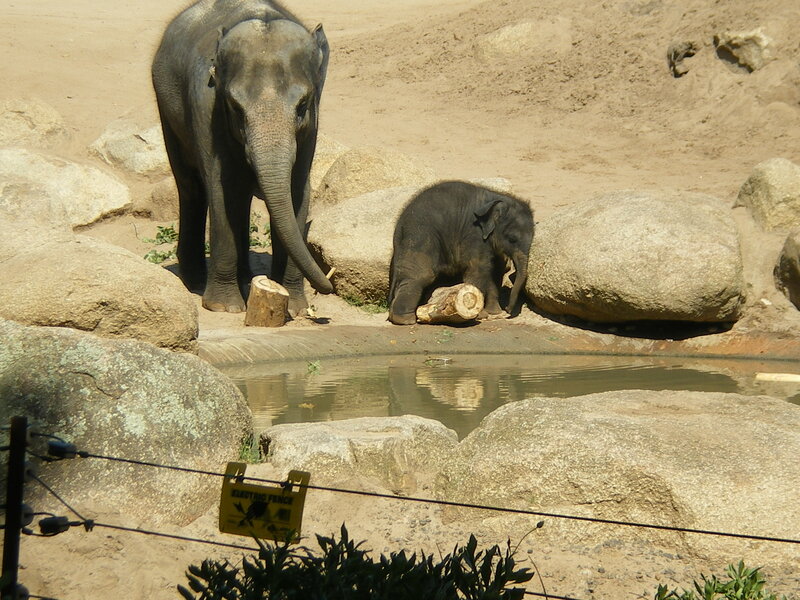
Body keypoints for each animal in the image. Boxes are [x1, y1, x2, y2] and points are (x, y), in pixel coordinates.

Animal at [152, 0, 333, 314]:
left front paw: (295, 308)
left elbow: (298, 191)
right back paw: (194, 280)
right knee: (191, 188)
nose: (329, 286)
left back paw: (246, 277)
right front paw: (223, 307)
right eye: (235, 108)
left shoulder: (313, 126)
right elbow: (223, 188)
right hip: (167, 109)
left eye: (302, 105)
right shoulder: (207, 106)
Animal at [388, 181, 534, 325]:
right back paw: (405, 320)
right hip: (420, 237)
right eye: (512, 238)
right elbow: (478, 270)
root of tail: (398, 227)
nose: (508, 310)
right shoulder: (473, 235)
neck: (496, 197)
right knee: (422, 276)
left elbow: (497, 270)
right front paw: (480, 315)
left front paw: (494, 313)